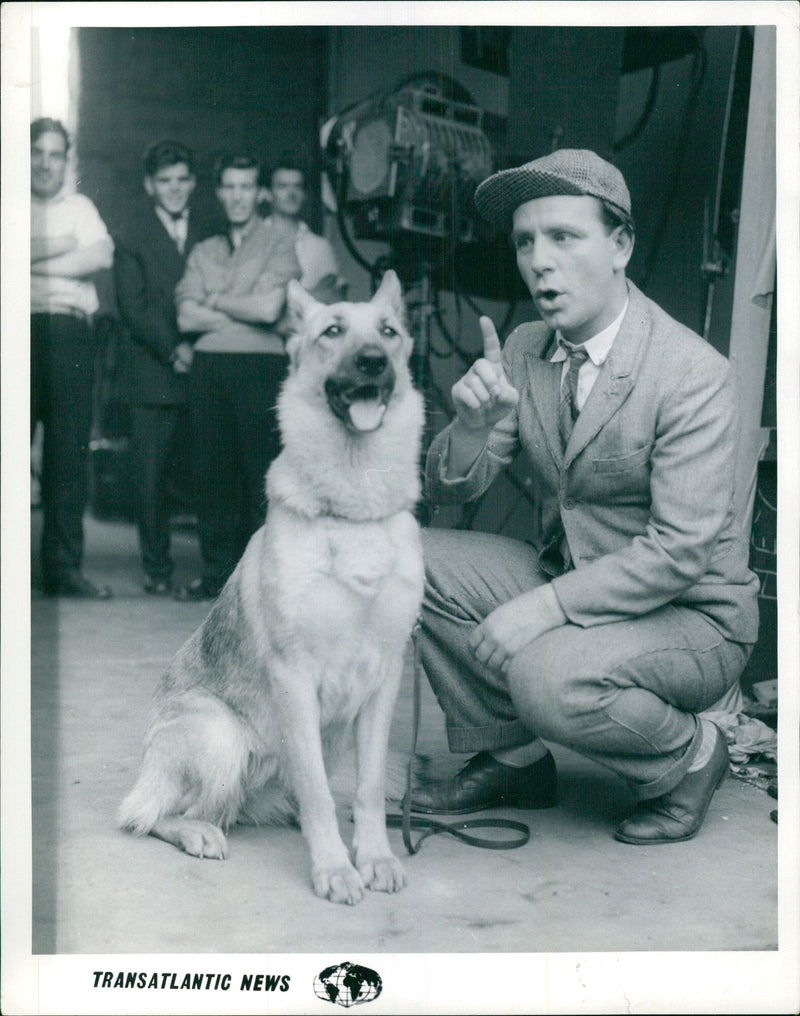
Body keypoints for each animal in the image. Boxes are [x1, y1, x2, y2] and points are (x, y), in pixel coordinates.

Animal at [118, 272, 424, 906]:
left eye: (388, 332)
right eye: (332, 330)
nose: (373, 361)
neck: (352, 512)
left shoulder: (385, 679)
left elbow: (368, 790)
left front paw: (374, 857)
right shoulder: (295, 677)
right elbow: (318, 793)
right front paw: (334, 868)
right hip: (220, 735)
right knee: (156, 814)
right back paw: (198, 832)